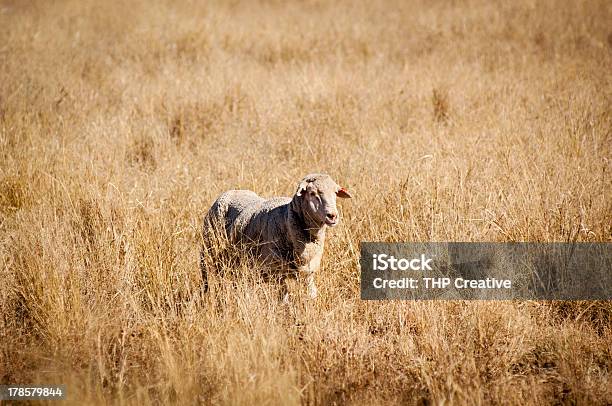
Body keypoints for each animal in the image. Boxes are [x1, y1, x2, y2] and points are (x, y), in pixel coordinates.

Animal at [200, 173, 352, 300]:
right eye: (312, 193)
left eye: (335, 193)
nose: (332, 216)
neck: (286, 218)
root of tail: (231, 191)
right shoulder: (276, 274)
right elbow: (284, 300)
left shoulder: (308, 273)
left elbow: (312, 295)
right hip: (209, 253)